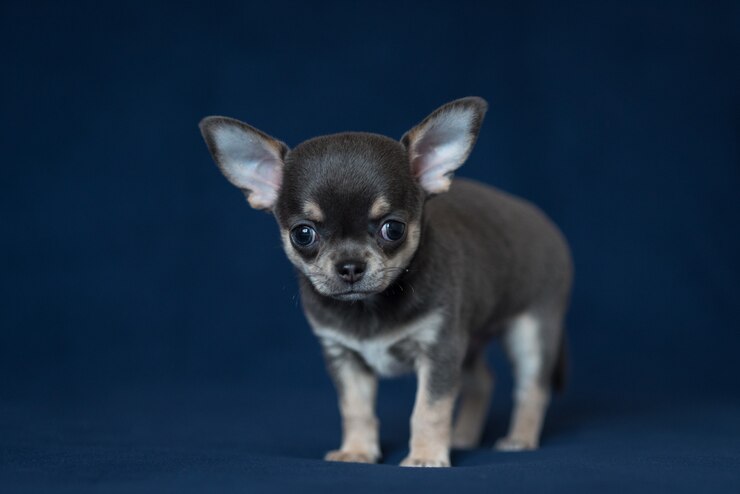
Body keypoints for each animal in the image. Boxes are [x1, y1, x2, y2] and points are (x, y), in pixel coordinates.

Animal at [199, 97, 576, 466]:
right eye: (302, 234)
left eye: (393, 229)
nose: (350, 266)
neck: (369, 307)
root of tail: (547, 225)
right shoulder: (346, 358)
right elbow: (356, 409)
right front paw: (357, 451)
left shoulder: (439, 350)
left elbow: (429, 409)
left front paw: (425, 456)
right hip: (468, 342)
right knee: (483, 381)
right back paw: (463, 437)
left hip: (531, 331)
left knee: (532, 388)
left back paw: (519, 439)